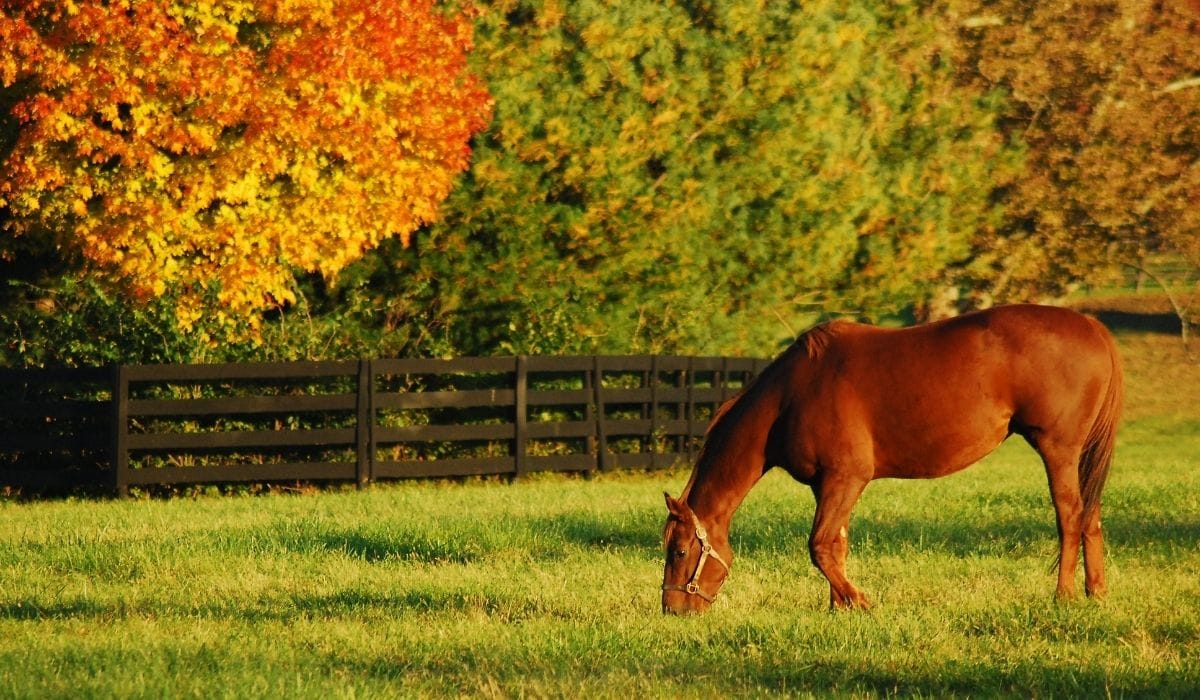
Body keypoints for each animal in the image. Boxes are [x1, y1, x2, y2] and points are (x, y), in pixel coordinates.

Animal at [661, 304, 1123, 614]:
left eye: (679, 552)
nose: (672, 609)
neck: (791, 396)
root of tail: (1092, 326)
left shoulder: (846, 478)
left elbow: (820, 546)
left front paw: (858, 601)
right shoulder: (828, 486)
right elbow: (837, 545)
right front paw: (838, 607)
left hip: (1058, 449)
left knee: (1070, 516)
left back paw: (1063, 595)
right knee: (1091, 516)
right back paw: (1096, 591)